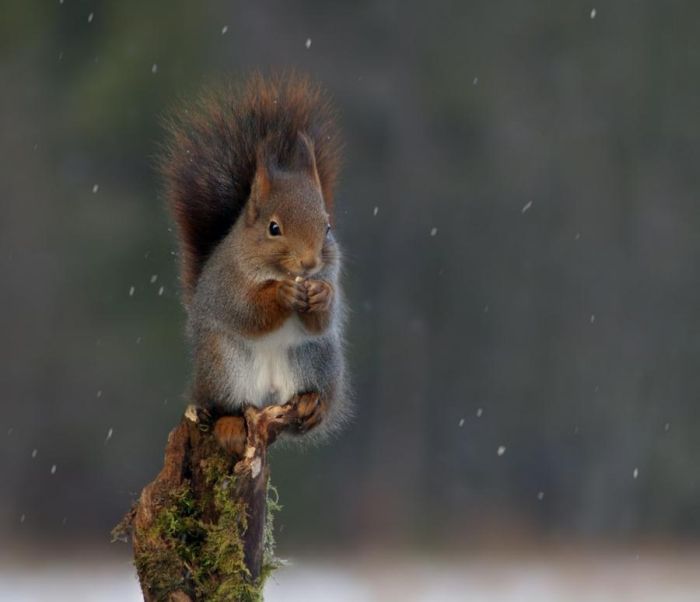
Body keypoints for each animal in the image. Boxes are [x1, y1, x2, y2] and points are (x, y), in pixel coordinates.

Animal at [160, 72, 348, 452]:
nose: (309, 264)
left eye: (328, 227)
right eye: (273, 228)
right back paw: (231, 425)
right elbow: (248, 312)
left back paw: (313, 406)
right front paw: (281, 296)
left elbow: (323, 319)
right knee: (229, 406)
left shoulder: (331, 276)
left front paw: (321, 296)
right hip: (225, 367)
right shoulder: (230, 285)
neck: (277, 272)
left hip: (317, 358)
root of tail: (269, 397)